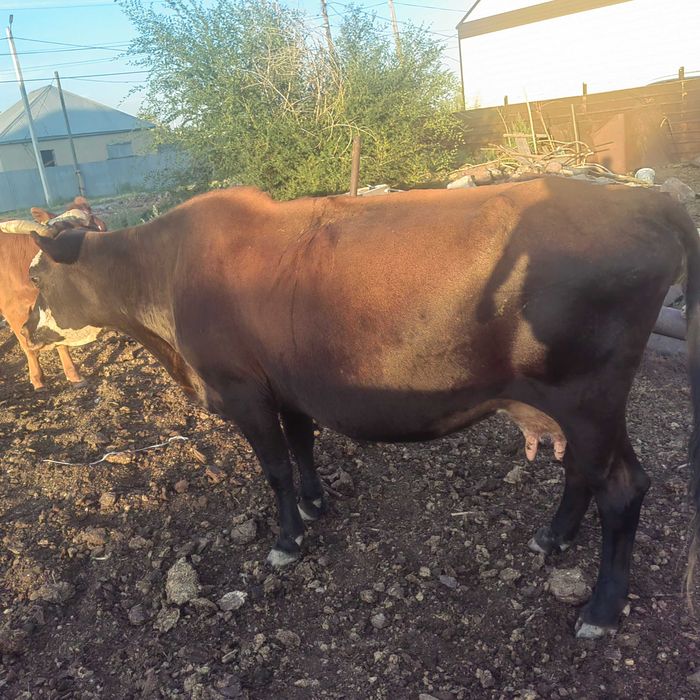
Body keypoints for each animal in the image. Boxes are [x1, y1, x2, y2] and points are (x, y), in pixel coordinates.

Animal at [22, 177, 700, 639]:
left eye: (35, 277)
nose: (28, 326)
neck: (165, 277)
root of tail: (647, 201)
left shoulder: (241, 388)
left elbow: (274, 468)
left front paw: (287, 540)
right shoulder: (285, 383)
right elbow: (301, 445)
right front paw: (315, 503)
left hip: (587, 395)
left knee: (621, 488)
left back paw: (602, 611)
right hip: (589, 406)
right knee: (594, 472)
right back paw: (553, 537)